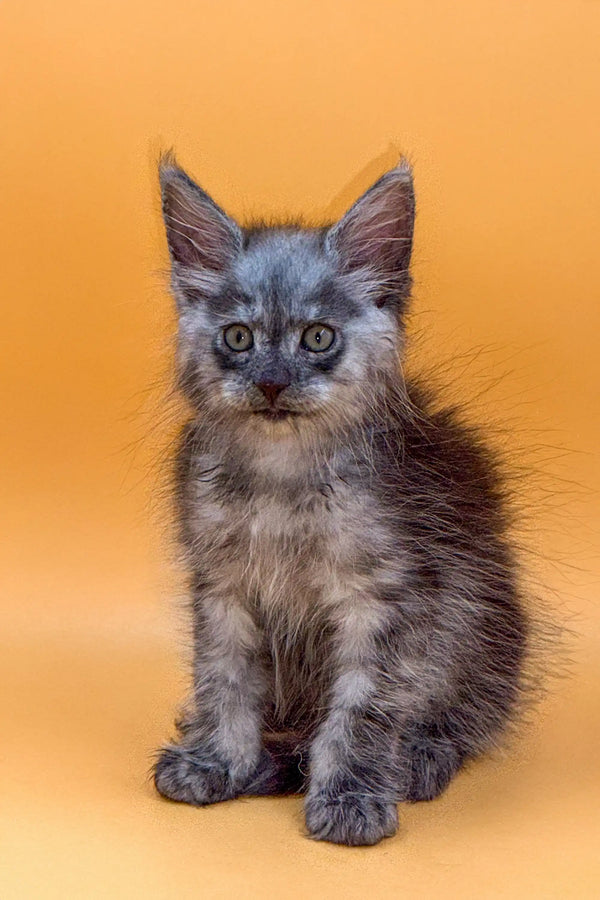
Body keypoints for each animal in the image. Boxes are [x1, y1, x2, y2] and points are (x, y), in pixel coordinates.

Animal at [154, 155, 528, 844]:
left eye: (318, 338)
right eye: (239, 338)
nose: (272, 383)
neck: (282, 483)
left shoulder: (386, 596)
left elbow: (363, 708)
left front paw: (351, 795)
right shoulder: (221, 587)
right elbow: (224, 681)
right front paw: (216, 760)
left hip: (479, 625)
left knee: (465, 716)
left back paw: (420, 757)